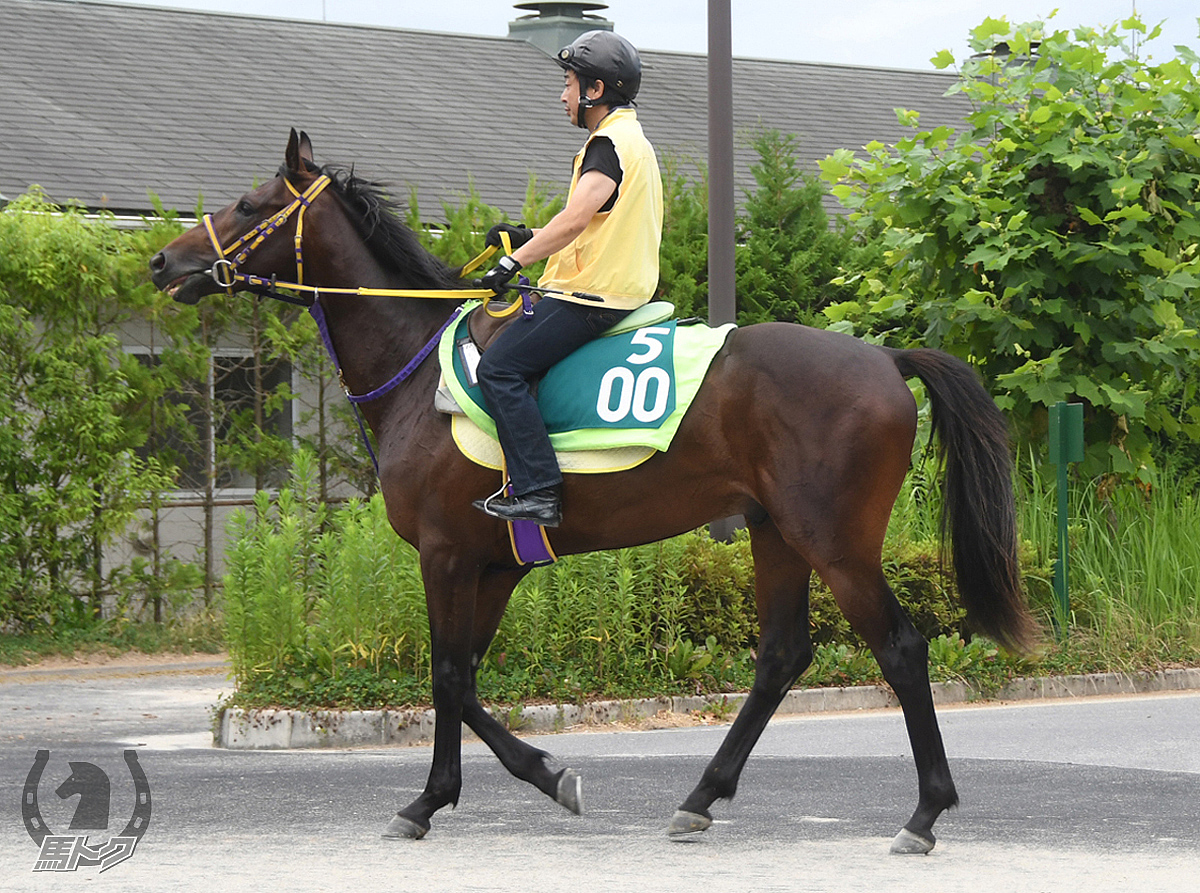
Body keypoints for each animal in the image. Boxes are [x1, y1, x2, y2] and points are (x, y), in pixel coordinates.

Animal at [147, 127, 1032, 849]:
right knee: (782, 654)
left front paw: (449, 796)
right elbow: (467, 677)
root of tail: (885, 359)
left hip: (835, 541)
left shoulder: (445, 556)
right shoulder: (495, 564)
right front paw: (513, 779)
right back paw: (700, 797)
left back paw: (924, 812)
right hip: (775, 532)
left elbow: (446, 675)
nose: (164, 261)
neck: (418, 370)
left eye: (249, 203)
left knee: (901, 647)